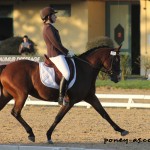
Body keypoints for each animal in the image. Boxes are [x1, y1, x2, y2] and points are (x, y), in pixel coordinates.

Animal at [0, 45, 129, 143]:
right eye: (116, 60)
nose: (118, 77)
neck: (85, 69)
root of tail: (6, 67)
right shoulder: (70, 101)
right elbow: (58, 117)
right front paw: (48, 136)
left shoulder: (90, 97)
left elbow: (104, 114)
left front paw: (122, 130)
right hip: (21, 95)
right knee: (16, 112)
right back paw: (31, 134)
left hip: (8, 95)